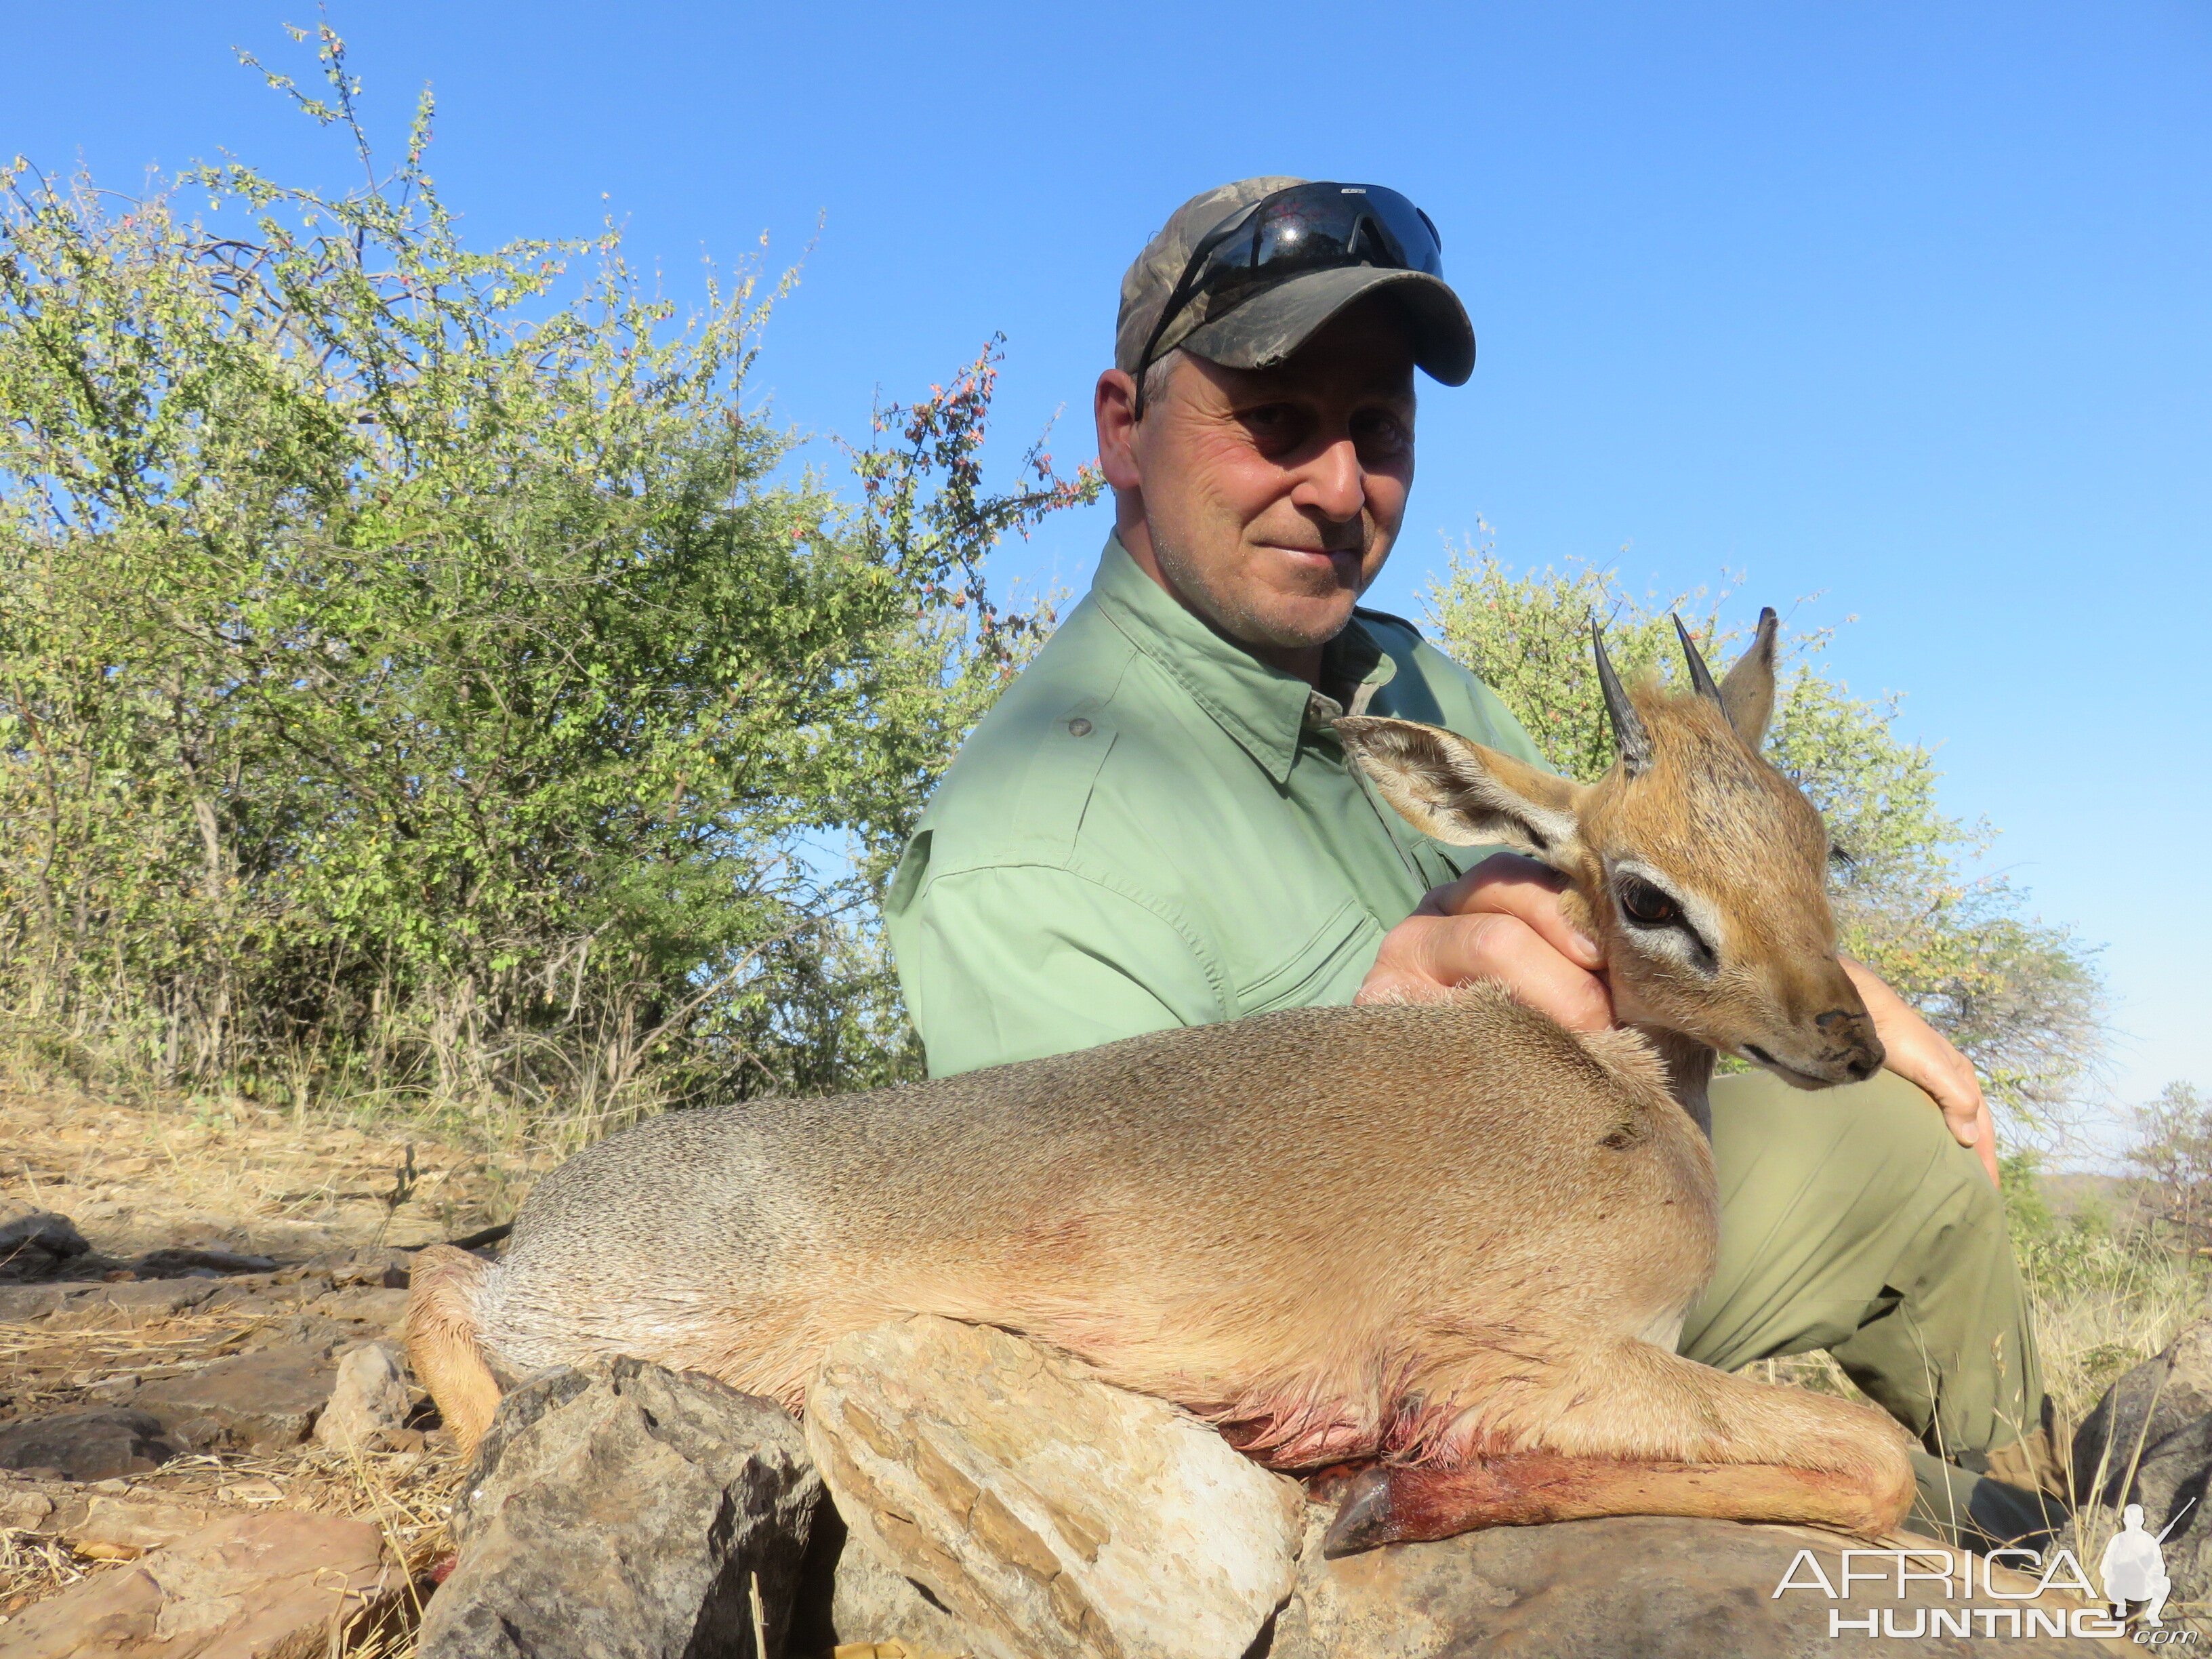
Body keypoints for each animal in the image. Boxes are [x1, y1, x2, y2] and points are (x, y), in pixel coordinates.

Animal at [411, 615, 1920, 1557]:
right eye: (1648, 894)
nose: (1849, 1039)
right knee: (435, 1280)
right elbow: (1876, 1461)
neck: (1615, 1098)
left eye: (1815, 840)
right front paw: (1378, 1494)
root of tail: (565, 1209)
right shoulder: (1538, 1359)